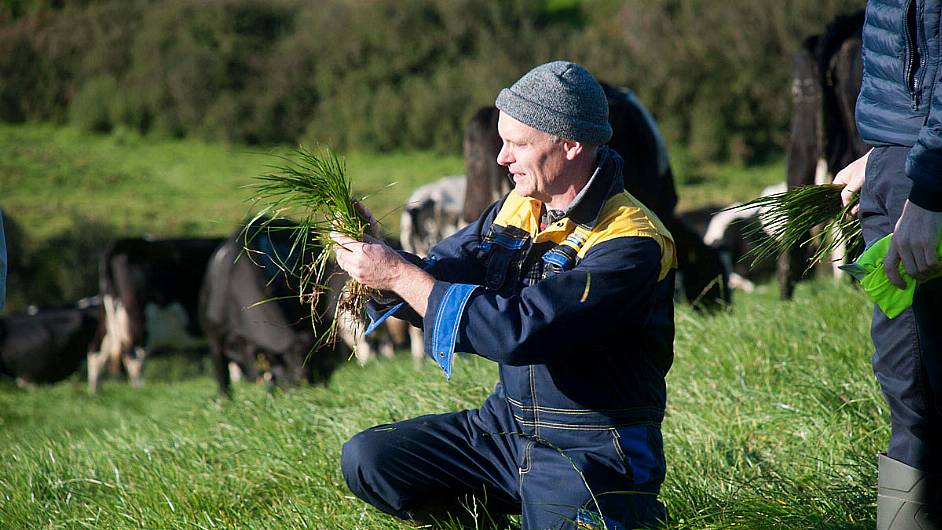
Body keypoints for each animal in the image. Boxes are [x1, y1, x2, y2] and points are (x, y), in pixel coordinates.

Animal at [87, 237, 222, 390]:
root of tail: (120, 244)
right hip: (136, 320)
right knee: (134, 359)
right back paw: (139, 390)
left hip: (109, 318)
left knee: (96, 352)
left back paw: (95, 392)